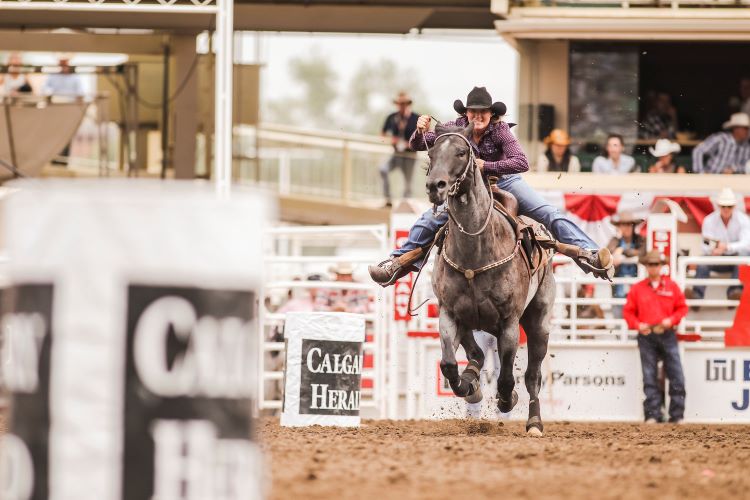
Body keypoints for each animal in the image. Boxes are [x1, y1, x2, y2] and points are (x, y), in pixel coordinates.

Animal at [426, 124, 556, 434]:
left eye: (461, 152)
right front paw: (468, 386)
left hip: (539, 321)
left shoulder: (509, 322)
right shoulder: (449, 313)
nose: (435, 186)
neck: (475, 251)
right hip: (471, 322)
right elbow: (448, 364)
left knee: (533, 376)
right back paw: (472, 379)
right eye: (431, 153)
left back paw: (534, 422)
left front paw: (507, 401)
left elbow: (508, 378)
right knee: (477, 355)